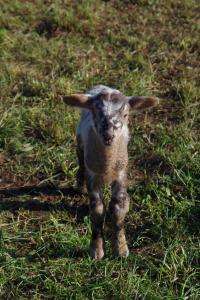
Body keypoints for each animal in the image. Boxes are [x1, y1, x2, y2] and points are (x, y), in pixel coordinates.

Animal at [63, 85, 159, 258]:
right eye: (95, 113)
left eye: (126, 114)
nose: (108, 136)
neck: (107, 165)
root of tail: (103, 86)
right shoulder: (93, 177)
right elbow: (97, 211)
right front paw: (96, 250)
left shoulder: (120, 175)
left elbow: (117, 209)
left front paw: (121, 248)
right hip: (80, 144)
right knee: (80, 162)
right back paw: (80, 185)